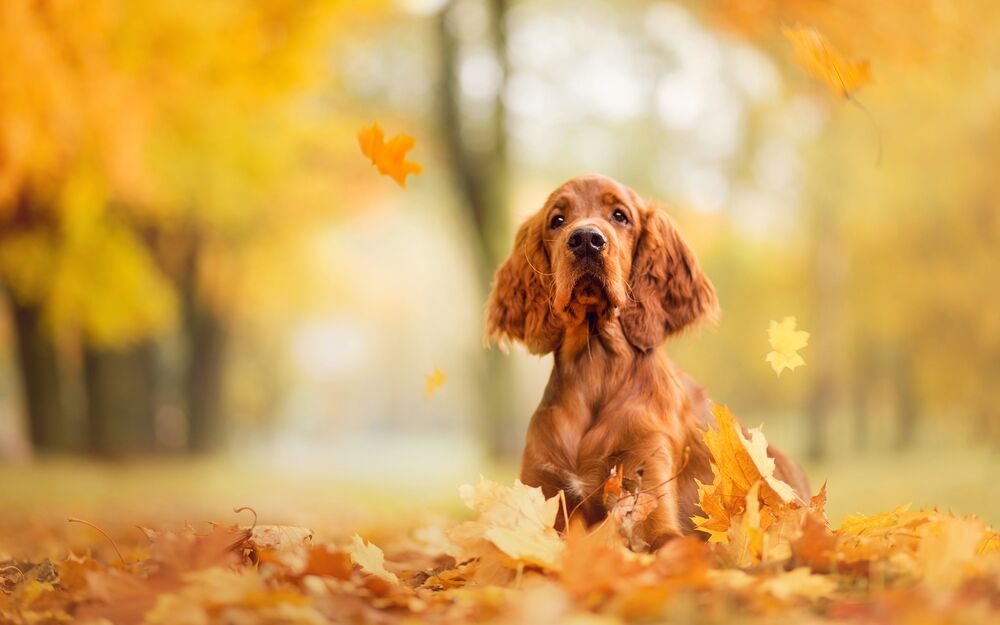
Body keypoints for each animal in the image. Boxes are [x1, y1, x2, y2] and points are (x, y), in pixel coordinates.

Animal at [486, 173, 812, 548]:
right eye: (557, 219)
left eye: (620, 216)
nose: (586, 240)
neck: (594, 366)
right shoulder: (541, 490)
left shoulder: (647, 488)